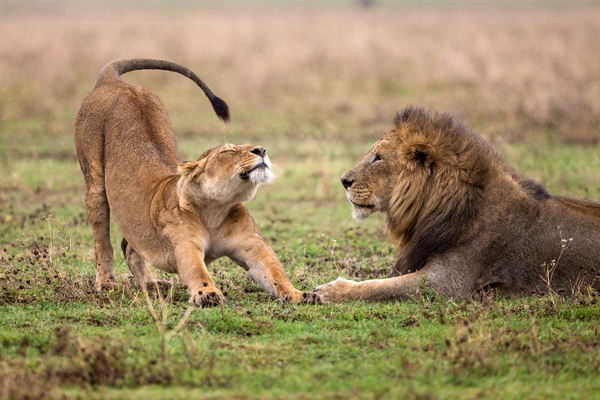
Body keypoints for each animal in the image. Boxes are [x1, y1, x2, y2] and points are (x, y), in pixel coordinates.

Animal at [75, 57, 318, 304]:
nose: (261, 150)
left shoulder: (252, 245)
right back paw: (106, 284)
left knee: (130, 246)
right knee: (102, 241)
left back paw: (152, 283)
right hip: (94, 182)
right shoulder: (185, 245)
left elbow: (274, 272)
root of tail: (113, 81)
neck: (216, 210)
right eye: (228, 151)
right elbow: (196, 271)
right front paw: (207, 293)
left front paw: (299, 294)